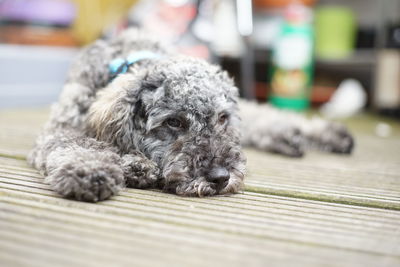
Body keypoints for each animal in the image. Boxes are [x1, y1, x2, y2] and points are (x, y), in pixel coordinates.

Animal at [28, 28, 354, 202]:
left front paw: (134, 166)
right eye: (173, 122)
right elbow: (77, 144)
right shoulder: (62, 127)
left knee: (262, 115)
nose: (221, 177)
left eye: (222, 119)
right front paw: (93, 171)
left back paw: (320, 134)